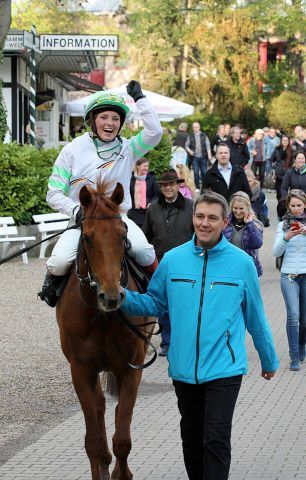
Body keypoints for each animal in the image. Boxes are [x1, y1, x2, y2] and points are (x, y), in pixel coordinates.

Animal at [56, 181, 154, 480]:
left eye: (123, 236)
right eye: (87, 237)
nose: (111, 296)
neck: (101, 316)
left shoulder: (131, 367)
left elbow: (122, 438)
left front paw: (122, 473)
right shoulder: (81, 369)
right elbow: (94, 441)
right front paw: (101, 466)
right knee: (99, 407)